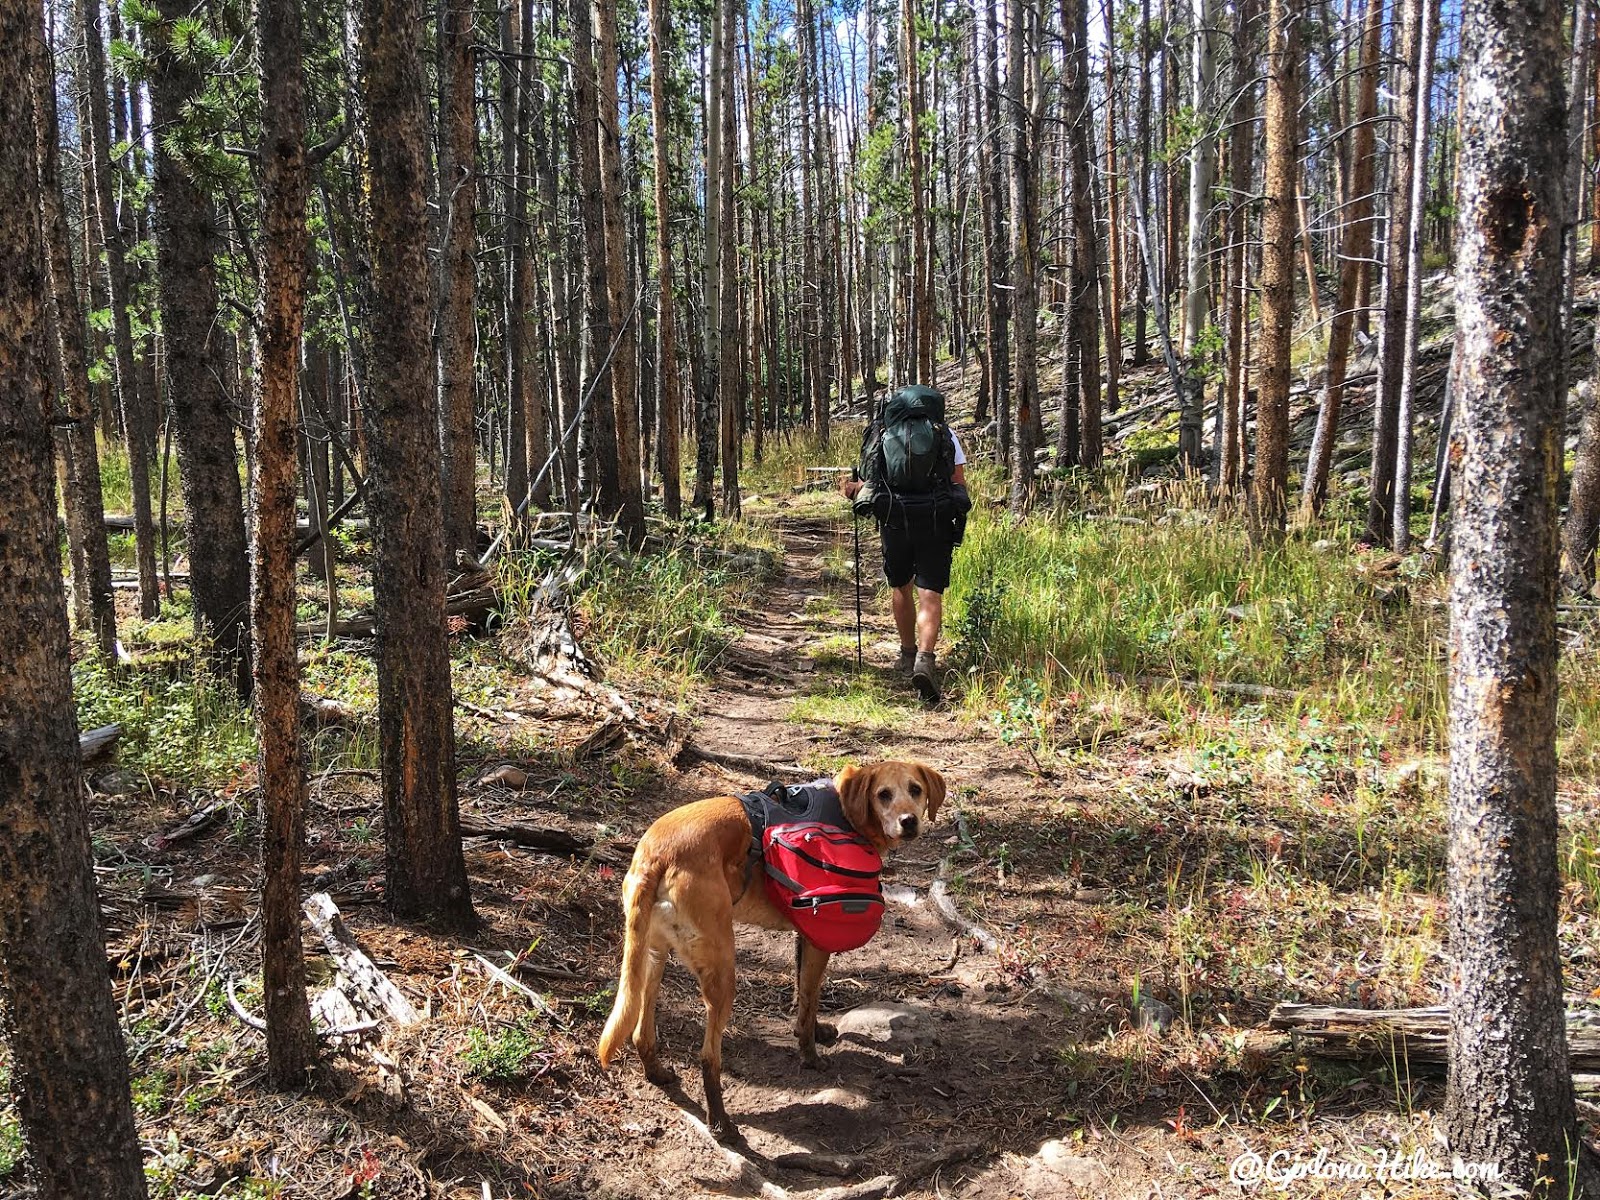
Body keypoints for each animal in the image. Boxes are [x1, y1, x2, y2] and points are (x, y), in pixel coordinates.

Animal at [598, 764, 940, 1139]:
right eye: (883, 794)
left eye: (915, 789)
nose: (909, 821)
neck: (846, 812)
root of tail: (654, 855)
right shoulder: (818, 940)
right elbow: (809, 1001)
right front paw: (810, 1055)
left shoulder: (804, 936)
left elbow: (804, 991)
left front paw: (816, 1031)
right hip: (722, 972)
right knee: (708, 1057)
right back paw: (721, 1123)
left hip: (653, 958)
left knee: (640, 1032)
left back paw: (657, 1073)